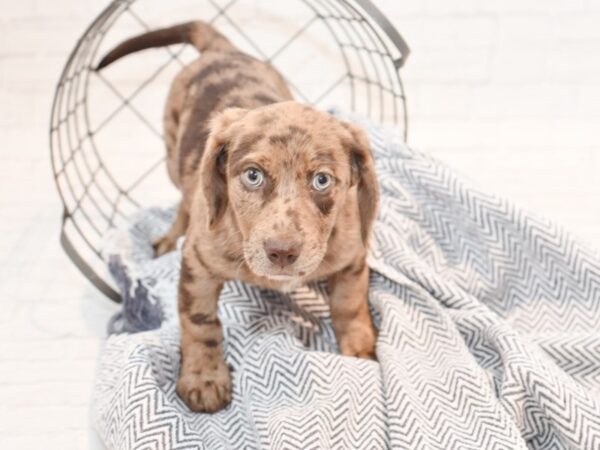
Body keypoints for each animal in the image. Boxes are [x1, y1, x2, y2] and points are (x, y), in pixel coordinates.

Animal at [98, 22, 380, 414]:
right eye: (253, 175)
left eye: (322, 180)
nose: (282, 252)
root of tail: (221, 49)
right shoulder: (198, 263)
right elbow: (200, 322)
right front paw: (204, 377)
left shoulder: (352, 258)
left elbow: (350, 307)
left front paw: (360, 350)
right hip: (173, 152)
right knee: (184, 199)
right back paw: (170, 236)